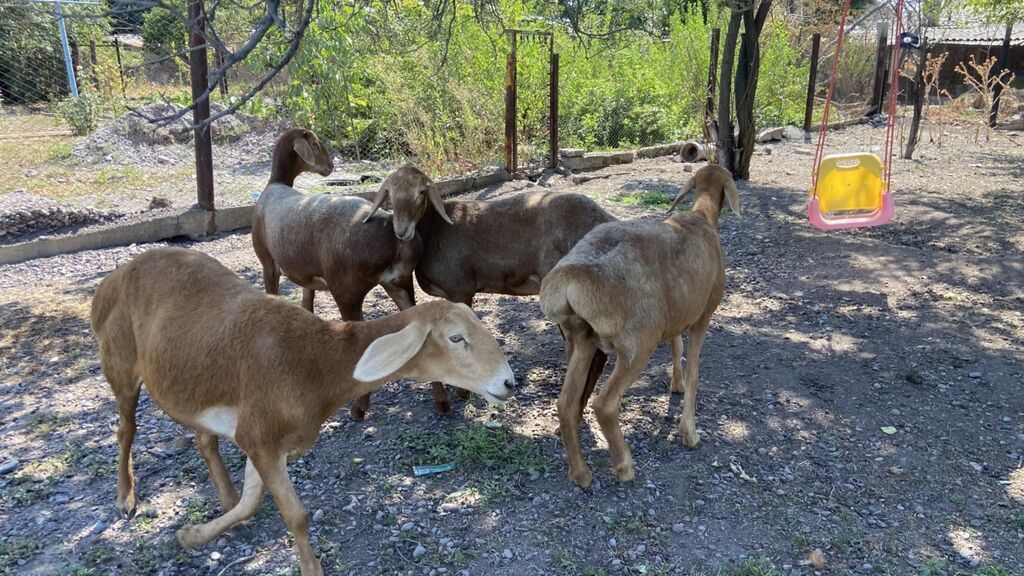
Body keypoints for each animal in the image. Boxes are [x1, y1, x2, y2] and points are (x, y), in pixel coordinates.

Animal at [90, 247, 516, 576]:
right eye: (456, 338)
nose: (509, 382)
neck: (315, 366)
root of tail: (110, 282)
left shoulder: (263, 440)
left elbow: (250, 503)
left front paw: (193, 535)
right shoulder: (261, 437)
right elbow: (297, 515)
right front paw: (311, 568)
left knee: (203, 440)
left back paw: (222, 497)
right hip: (119, 363)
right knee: (126, 430)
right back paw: (125, 496)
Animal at [252, 129, 454, 418]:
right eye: (316, 144)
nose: (330, 166)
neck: (277, 184)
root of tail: (395, 237)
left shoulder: (269, 265)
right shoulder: (306, 275)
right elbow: (306, 303)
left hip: (347, 290)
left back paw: (358, 408)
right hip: (398, 284)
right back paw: (441, 401)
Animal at [358, 165, 616, 416]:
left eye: (421, 192)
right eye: (390, 194)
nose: (402, 231)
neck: (435, 230)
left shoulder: (460, 289)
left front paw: (464, 392)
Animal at [538, 164, 740, 488]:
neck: (701, 217)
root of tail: (568, 282)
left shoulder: (676, 315)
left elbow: (676, 347)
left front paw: (676, 386)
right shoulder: (703, 315)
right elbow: (695, 372)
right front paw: (689, 432)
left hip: (583, 338)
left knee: (566, 403)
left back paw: (580, 474)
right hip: (637, 342)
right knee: (604, 404)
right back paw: (624, 466)